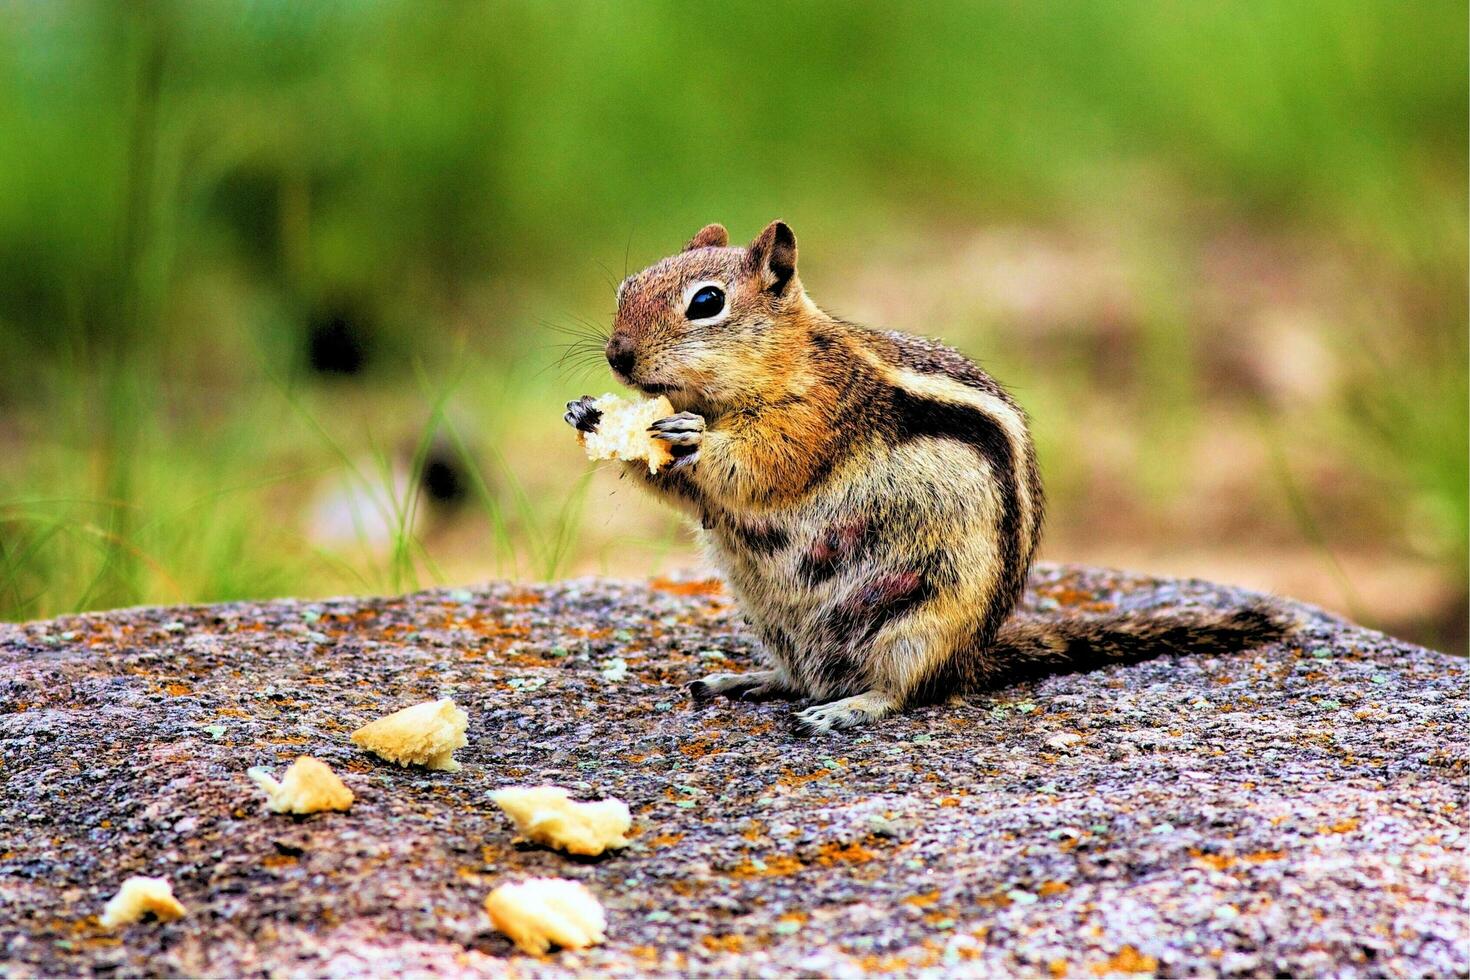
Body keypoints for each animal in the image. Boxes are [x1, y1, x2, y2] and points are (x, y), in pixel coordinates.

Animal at [561, 218, 1287, 731]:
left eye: (707, 302)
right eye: (627, 288)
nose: (617, 356)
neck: (784, 362)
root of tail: (972, 656)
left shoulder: (819, 416)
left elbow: (764, 464)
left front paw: (690, 436)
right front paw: (588, 415)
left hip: (920, 620)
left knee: (899, 690)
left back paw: (844, 709)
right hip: (771, 618)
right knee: (806, 674)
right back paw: (749, 680)